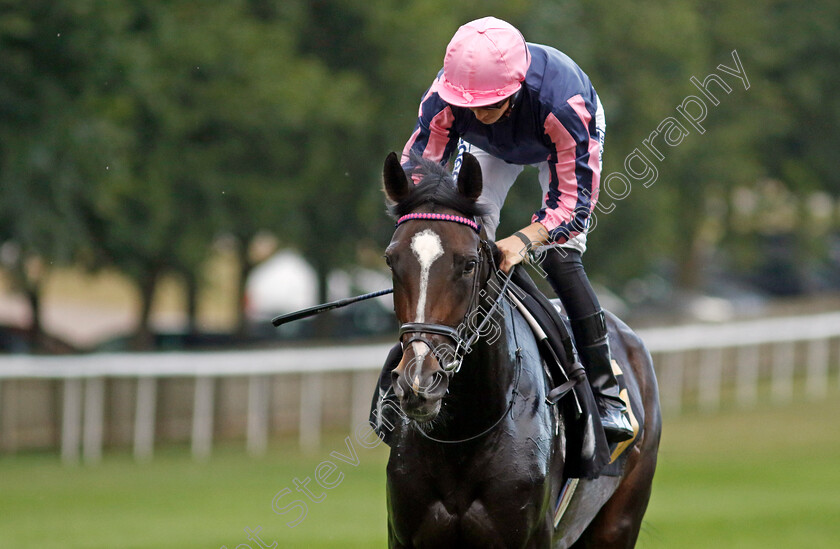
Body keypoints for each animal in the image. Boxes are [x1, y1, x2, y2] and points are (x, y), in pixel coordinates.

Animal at [376, 151, 664, 548]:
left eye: (469, 263)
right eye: (392, 260)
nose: (419, 380)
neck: (462, 436)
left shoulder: (532, 535)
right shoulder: (404, 536)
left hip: (620, 519)